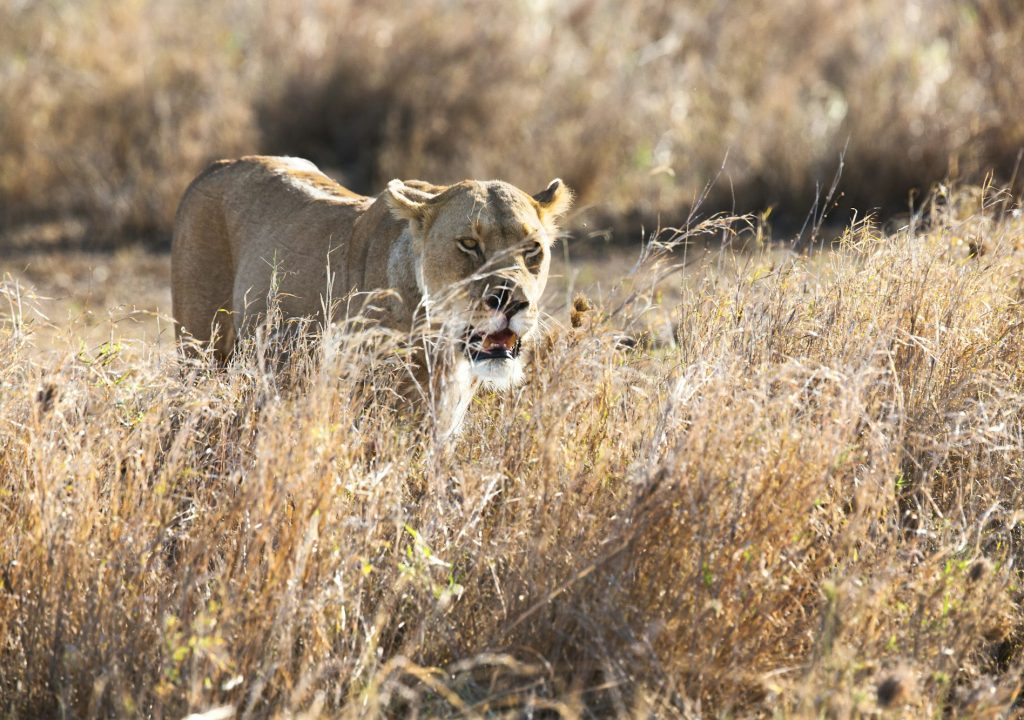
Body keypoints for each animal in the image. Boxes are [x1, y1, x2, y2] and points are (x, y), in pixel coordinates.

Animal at [171, 155, 572, 437]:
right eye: (469, 244)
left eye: (532, 249)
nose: (512, 301)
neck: (441, 346)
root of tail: (217, 166)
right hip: (201, 353)